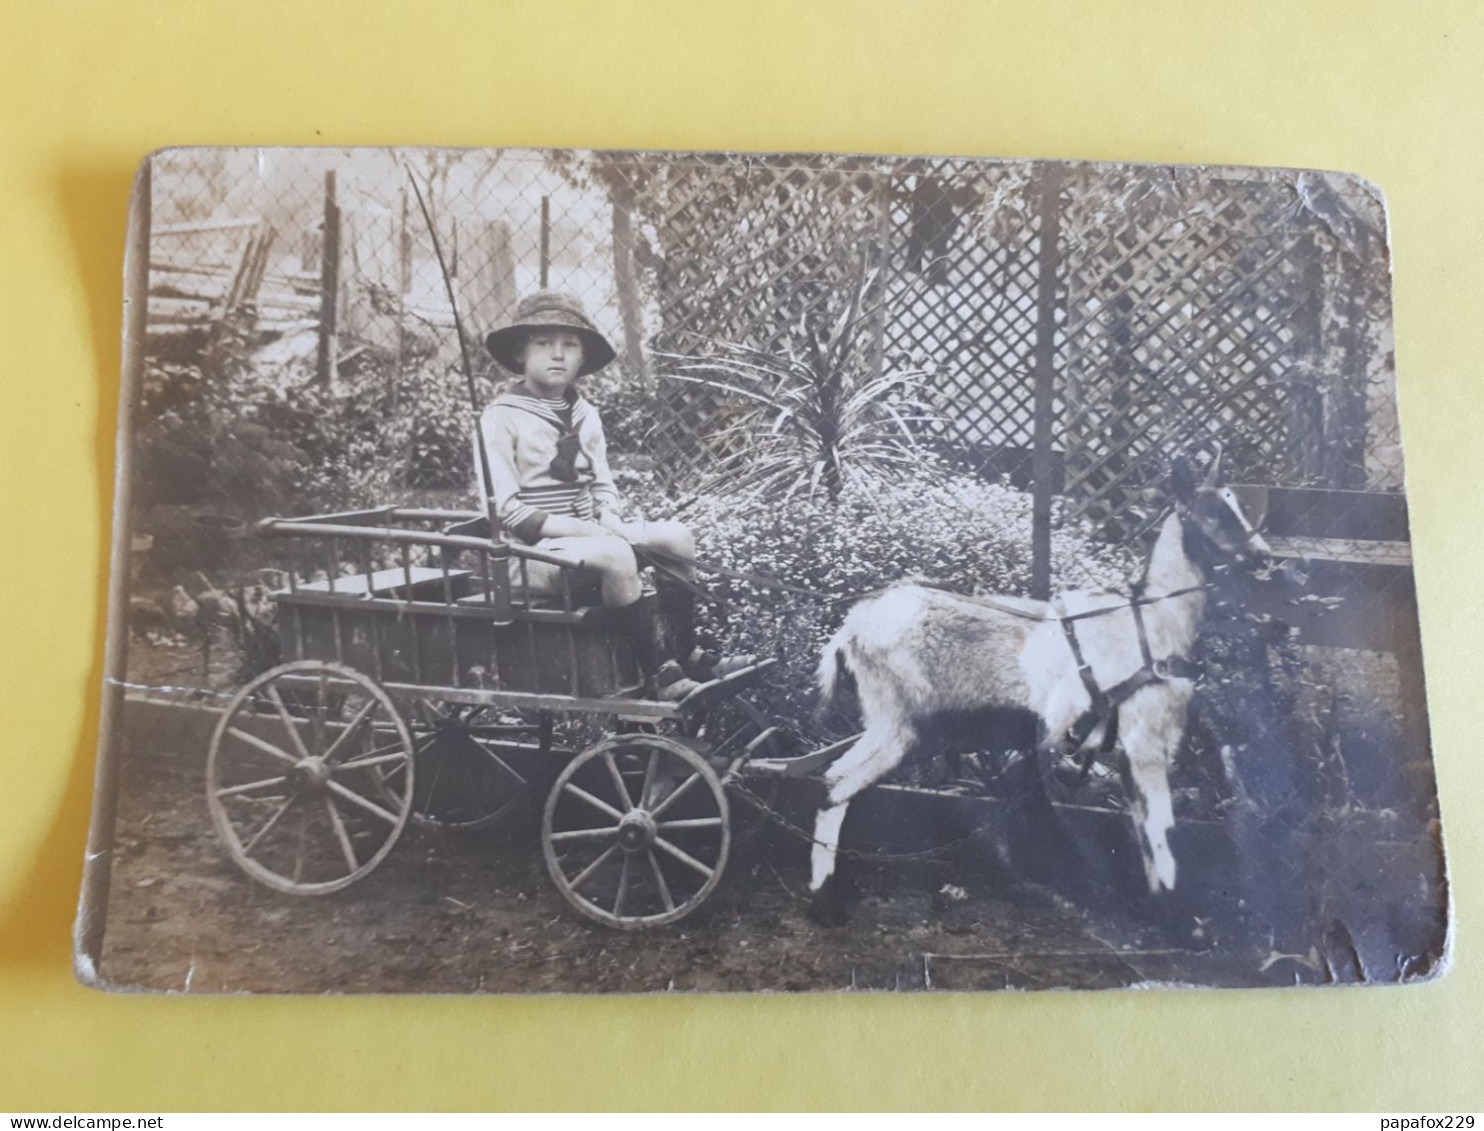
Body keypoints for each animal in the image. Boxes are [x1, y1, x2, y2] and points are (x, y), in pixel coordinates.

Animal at [807, 454, 1270, 920]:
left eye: (1240, 506)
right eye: (1215, 514)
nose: (1263, 557)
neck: (1151, 621)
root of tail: (853, 627)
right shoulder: (1144, 742)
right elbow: (1159, 830)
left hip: (887, 725)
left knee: (831, 778)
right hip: (903, 727)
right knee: (836, 788)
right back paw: (827, 904)